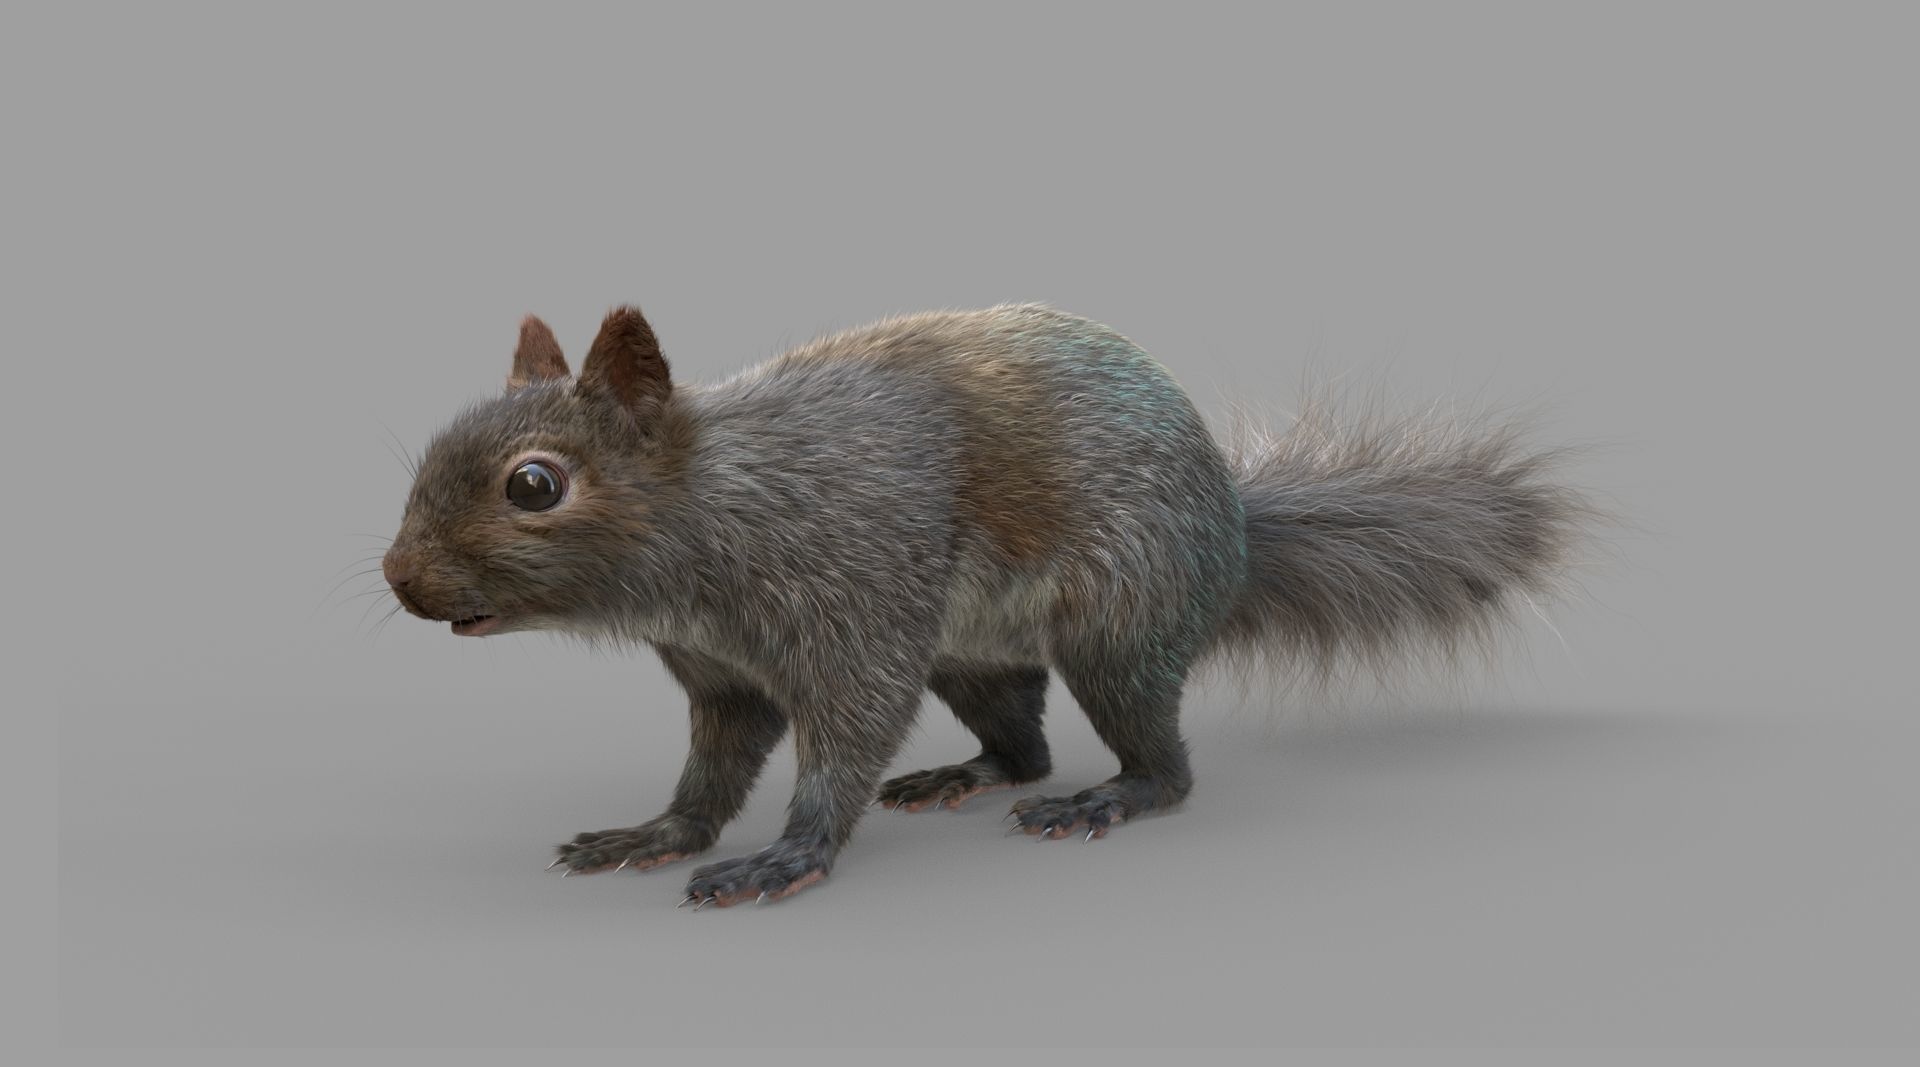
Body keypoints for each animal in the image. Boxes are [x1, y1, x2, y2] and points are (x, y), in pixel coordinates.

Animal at [381, 303, 1589, 907]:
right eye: (439, 440)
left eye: (534, 484)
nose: (400, 579)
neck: (727, 503)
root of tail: (1235, 535)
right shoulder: (721, 673)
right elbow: (715, 763)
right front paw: (656, 831)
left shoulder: (854, 599)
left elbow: (846, 733)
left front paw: (789, 856)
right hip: (973, 655)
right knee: (1022, 739)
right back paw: (963, 773)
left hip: (1118, 617)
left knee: (1160, 761)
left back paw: (1106, 797)